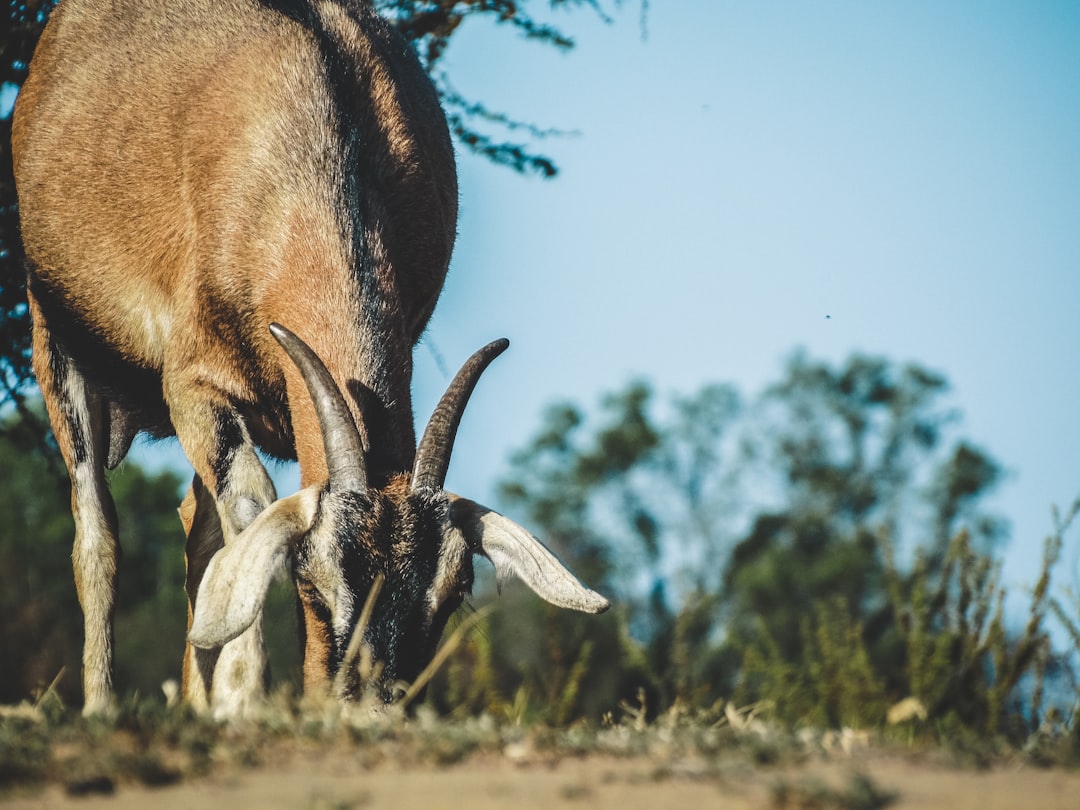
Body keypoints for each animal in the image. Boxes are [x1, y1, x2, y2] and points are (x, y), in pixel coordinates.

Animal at [12, 1, 609, 721]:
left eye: (456, 589)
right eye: (309, 579)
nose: (371, 707)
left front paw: (225, 695)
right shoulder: (192, 384)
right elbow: (249, 506)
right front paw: (242, 696)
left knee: (194, 524)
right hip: (55, 337)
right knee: (97, 528)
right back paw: (102, 704)